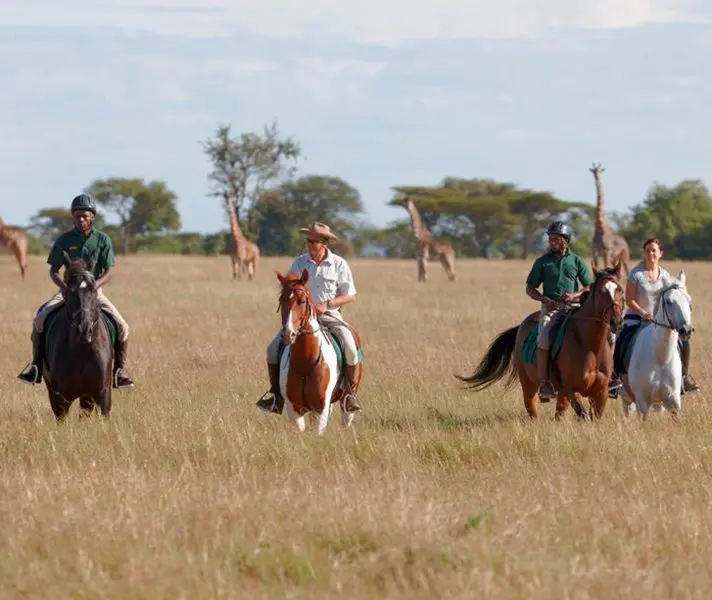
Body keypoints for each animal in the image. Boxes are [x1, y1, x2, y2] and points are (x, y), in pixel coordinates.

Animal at [42, 252, 114, 420]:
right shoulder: (60, 398)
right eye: (70, 291)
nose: (84, 330)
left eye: (94, 290)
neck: (83, 349)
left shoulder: (103, 394)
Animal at [456, 263, 625, 420]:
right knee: (533, 410)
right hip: (529, 385)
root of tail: (522, 325)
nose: (616, 322)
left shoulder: (601, 393)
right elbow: (584, 416)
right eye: (602, 292)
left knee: (558, 414)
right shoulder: (571, 389)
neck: (590, 347)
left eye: (620, 290)